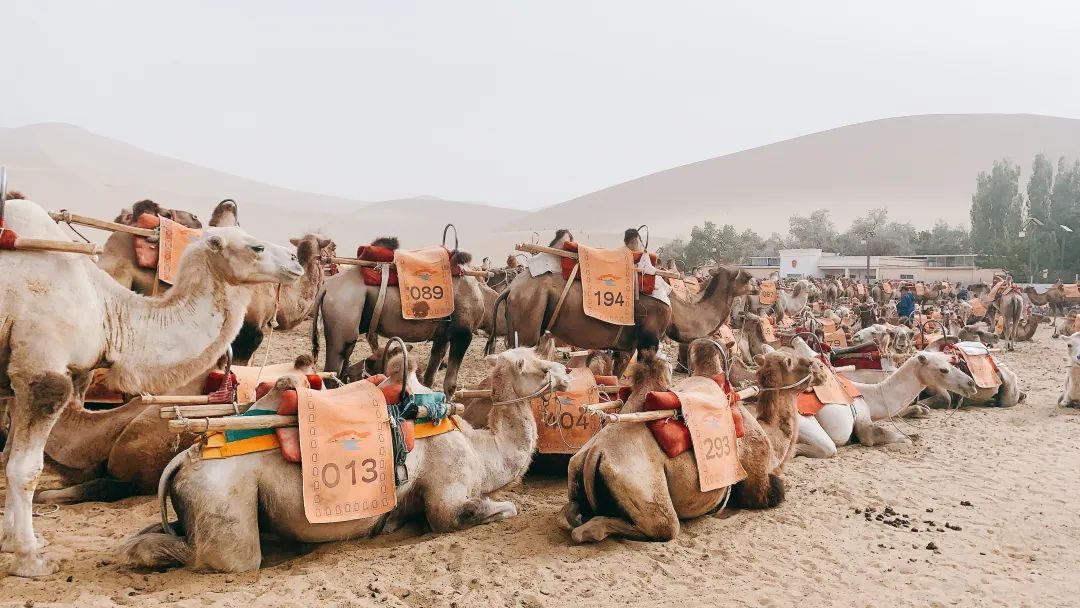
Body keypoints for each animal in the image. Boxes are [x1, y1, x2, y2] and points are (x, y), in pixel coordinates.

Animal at [0, 198, 302, 574]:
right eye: (255, 246)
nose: (296, 261)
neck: (107, 312)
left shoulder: (17, 381)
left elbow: (8, 458)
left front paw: (9, 541)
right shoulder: (41, 372)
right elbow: (25, 469)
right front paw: (31, 560)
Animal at [118, 349, 574, 574]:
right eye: (533, 365)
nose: (567, 371)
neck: (481, 448)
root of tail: (184, 458)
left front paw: (388, 525)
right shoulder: (449, 494)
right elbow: (481, 511)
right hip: (223, 500)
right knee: (223, 558)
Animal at [311, 237, 483, 395]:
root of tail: (326, 287)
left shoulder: (442, 336)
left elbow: (429, 379)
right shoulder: (463, 335)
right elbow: (450, 385)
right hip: (342, 325)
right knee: (331, 373)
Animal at [557, 343, 825, 542]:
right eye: (798, 362)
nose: (821, 367)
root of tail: (594, 452)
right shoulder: (756, 479)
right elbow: (777, 489)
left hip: (576, 467)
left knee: (569, 513)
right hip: (644, 489)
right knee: (661, 526)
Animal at [794, 341, 980, 460]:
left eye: (952, 363)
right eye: (943, 370)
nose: (971, 383)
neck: (869, 394)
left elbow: (912, 436)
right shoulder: (864, 425)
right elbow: (902, 439)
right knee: (826, 448)